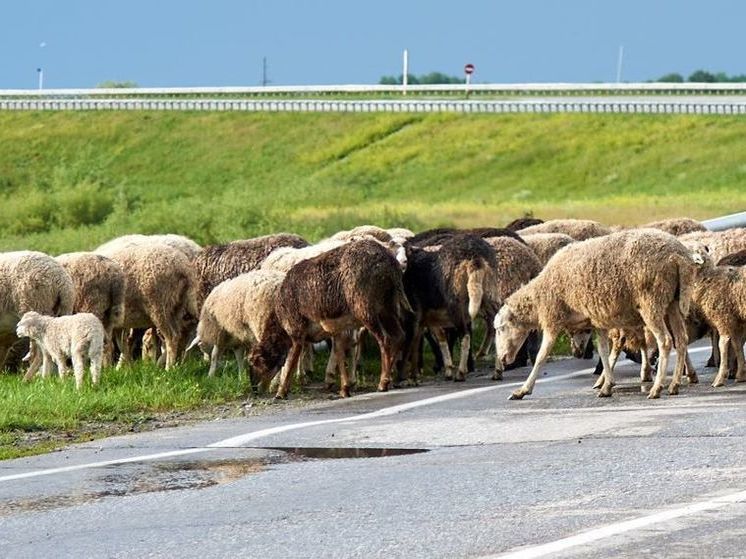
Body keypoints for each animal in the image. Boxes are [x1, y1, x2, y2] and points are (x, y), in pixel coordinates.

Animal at [250, 238, 412, 400]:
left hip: (366, 308)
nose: (255, 390)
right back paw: (391, 378)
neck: (279, 321)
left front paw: (281, 392)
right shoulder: (337, 330)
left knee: (385, 340)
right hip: (388, 307)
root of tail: (388, 263)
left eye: (257, 363)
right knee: (399, 336)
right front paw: (345, 389)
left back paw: (383, 382)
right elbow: (339, 354)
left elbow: (291, 362)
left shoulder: (296, 331)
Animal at [494, 230, 696, 400]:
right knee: (681, 339)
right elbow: (604, 351)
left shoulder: (552, 319)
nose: (502, 358)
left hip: (651, 301)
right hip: (673, 303)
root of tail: (677, 256)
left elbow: (541, 357)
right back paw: (674, 385)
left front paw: (523, 390)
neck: (538, 296)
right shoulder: (597, 321)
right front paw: (607, 385)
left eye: (501, 329)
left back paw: (657, 388)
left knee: (665, 341)